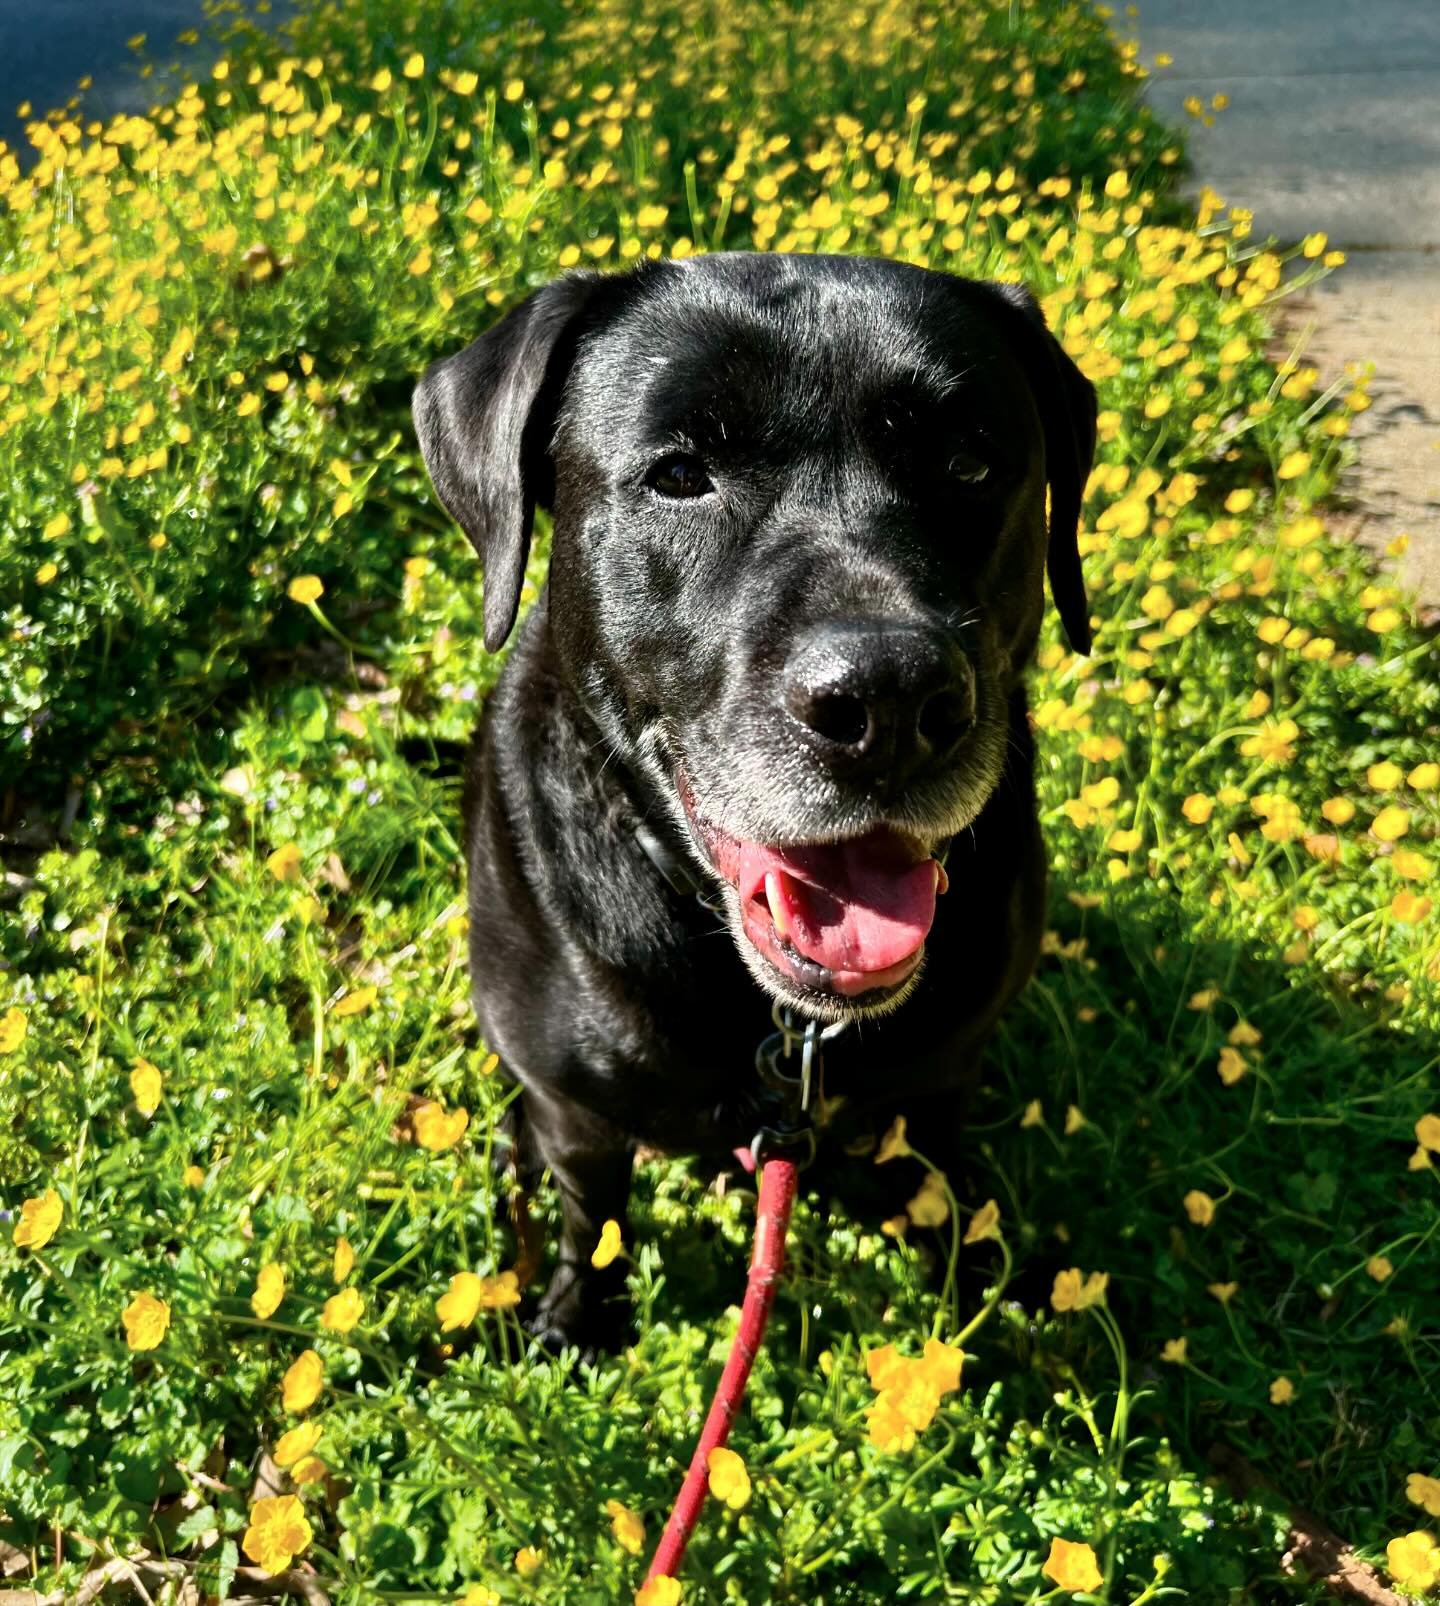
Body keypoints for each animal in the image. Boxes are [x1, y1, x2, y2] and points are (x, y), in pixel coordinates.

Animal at [410, 250, 1098, 1349]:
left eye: (971, 465)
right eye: (680, 473)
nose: (887, 699)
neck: (779, 1023)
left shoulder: (945, 1076)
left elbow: (942, 1191)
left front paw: (978, 1303)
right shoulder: (579, 1116)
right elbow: (591, 1213)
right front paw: (580, 1316)